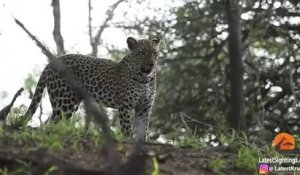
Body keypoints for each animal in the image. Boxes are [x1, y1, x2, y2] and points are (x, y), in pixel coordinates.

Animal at [24, 36, 161, 141]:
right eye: (142, 53)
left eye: (155, 53)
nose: (151, 64)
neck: (145, 79)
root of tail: (53, 62)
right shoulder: (125, 106)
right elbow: (127, 129)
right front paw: (129, 142)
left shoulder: (144, 108)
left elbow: (143, 130)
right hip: (64, 103)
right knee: (53, 124)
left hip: (71, 103)